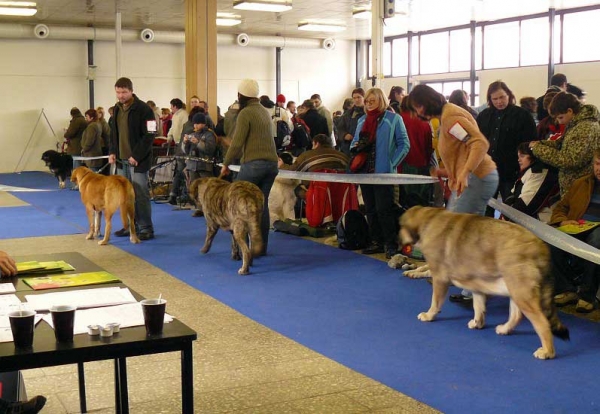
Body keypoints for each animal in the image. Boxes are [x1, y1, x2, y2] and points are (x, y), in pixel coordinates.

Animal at [398, 207, 568, 360]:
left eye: (401, 226)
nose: (398, 240)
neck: (429, 220)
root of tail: (541, 248)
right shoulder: (476, 285)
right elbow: (478, 307)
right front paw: (477, 323)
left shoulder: (440, 278)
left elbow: (435, 301)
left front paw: (429, 315)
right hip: (515, 290)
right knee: (516, 315)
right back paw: (505, 329)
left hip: (521, 292)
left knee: (542, 323)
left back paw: (547, 352)